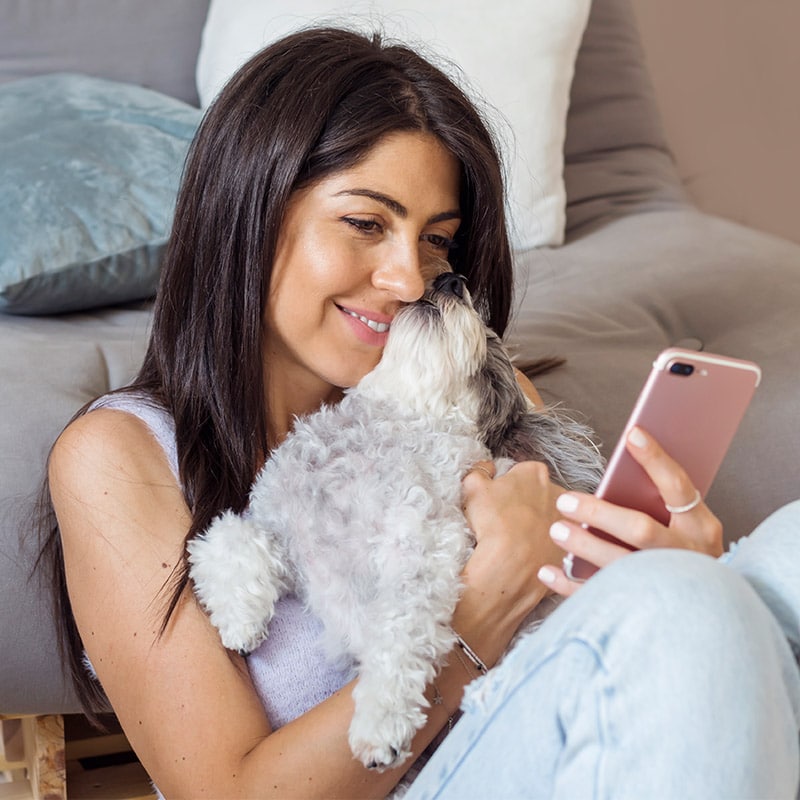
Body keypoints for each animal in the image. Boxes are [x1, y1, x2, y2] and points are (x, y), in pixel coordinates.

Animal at [186, 268, 600, 768]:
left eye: (486, 350)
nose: (452, 278)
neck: (396, 420)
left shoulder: (422, 550)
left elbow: (399, 635)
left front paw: (380, 724)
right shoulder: (282, 528)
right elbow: (227, 537)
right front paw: (240, 622)